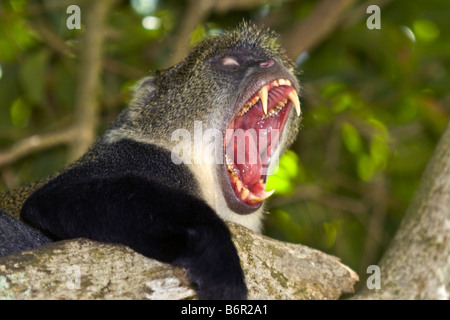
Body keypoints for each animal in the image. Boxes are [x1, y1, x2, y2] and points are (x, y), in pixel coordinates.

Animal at [0, 22, 302, 300]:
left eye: (266, 59)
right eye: (229, 62)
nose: (270, 63)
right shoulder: (142, 159)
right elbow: (55, 196)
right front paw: (218, 259)